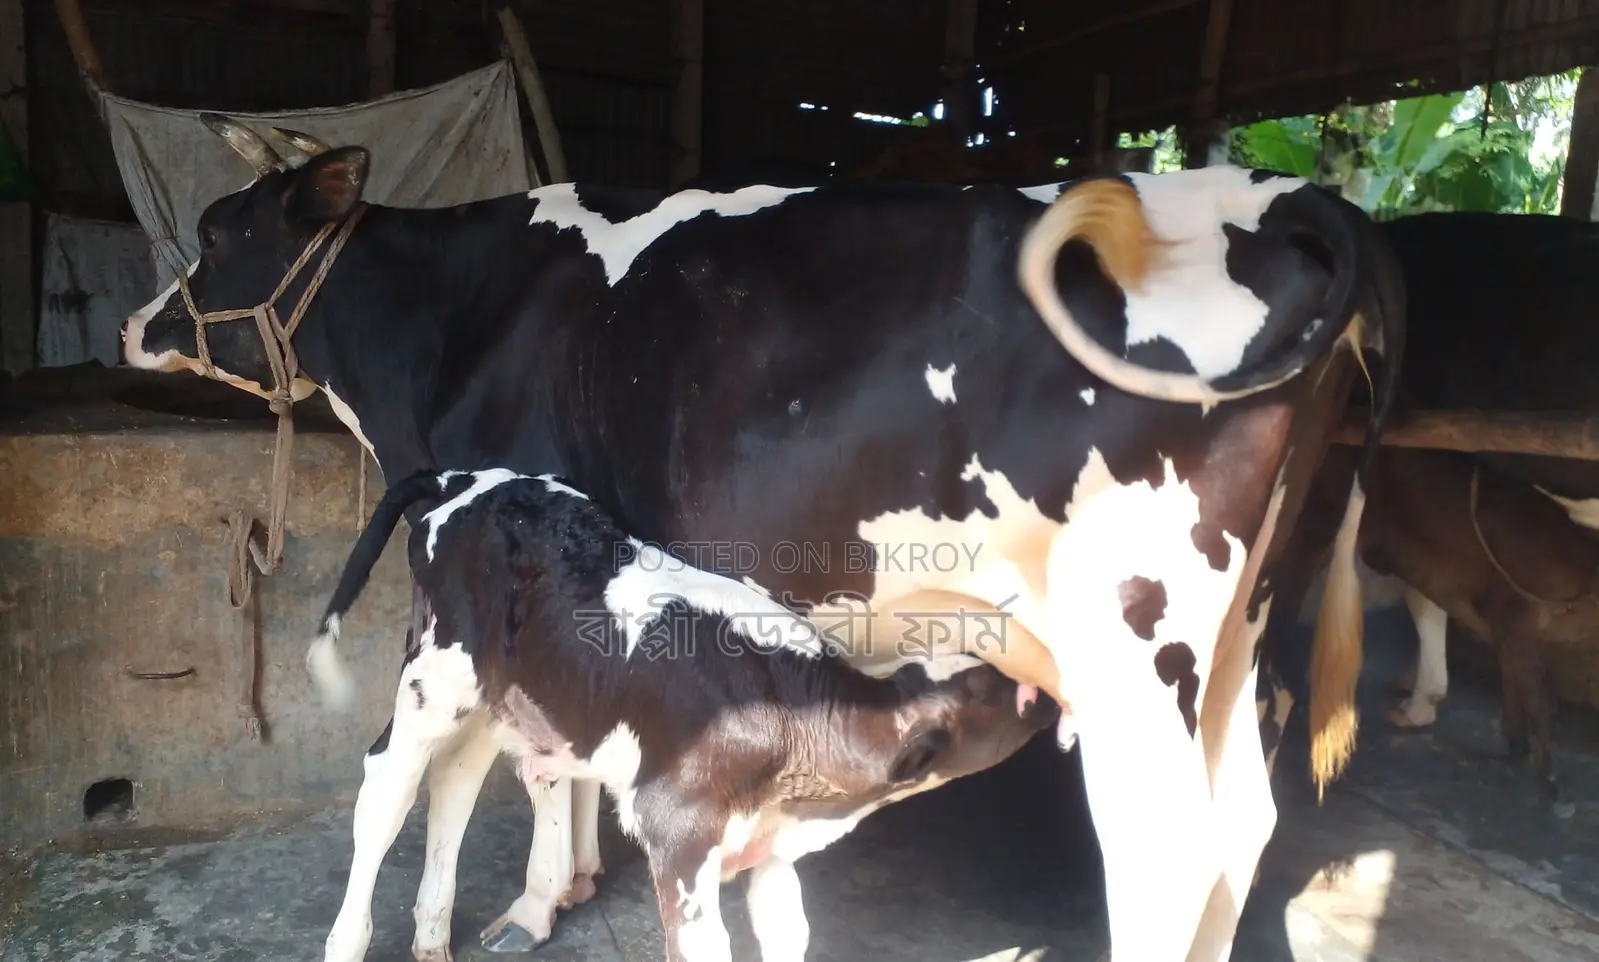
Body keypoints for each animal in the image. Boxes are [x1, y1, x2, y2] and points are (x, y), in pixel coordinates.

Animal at [307, 466, 1057, 962]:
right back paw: (350, 939)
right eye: (990, 691)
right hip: (431, 677)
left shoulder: (770, 843)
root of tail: (468, 476)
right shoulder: (677, 833)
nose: (1050, 692)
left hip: (495, 695)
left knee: (455, 780)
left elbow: (787, 932)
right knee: (387, 789)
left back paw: (433, 935)